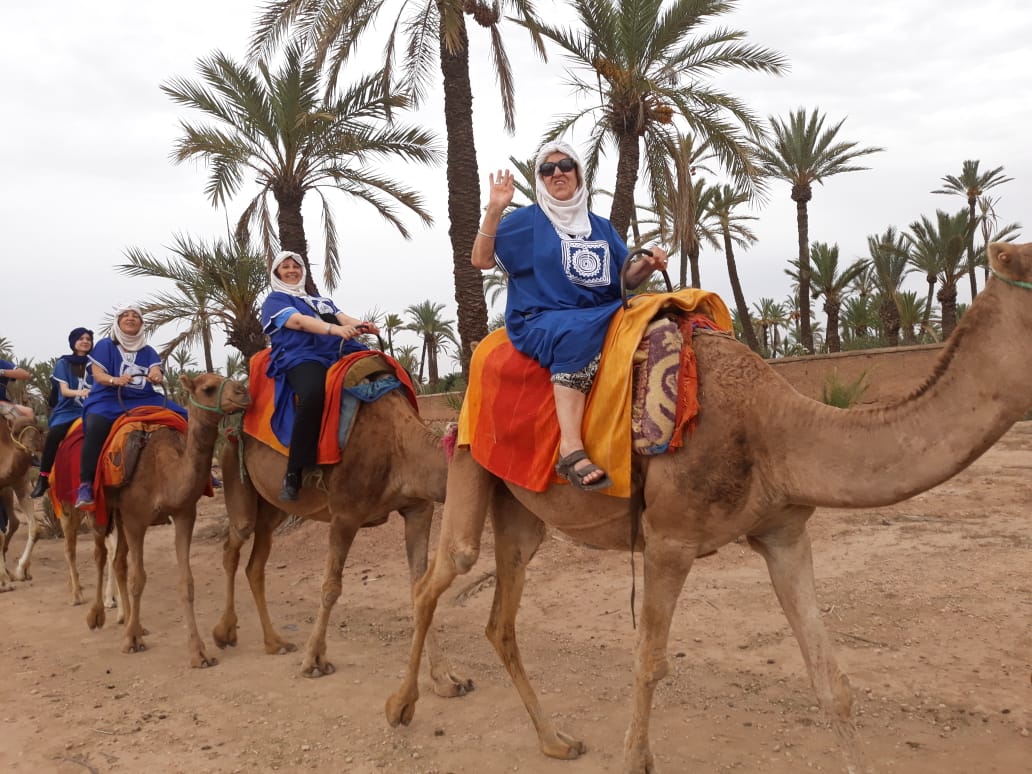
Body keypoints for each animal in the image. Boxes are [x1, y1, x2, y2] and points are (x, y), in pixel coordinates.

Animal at [86, 373, 250, 668]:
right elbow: (138, 579)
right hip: (101, 507)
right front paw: (130, 642)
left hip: (120, 515)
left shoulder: (184, 513)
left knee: (118, 561)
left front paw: (199, 653)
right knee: (100, 554)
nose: (244, 392)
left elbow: (186, 583)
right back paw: (97, 616)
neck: (163, 473)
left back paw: (135, 624)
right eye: (208, 388)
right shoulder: (136, 518)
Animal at [214, 383, 471, 696]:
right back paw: (223, 634)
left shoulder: (419, 508)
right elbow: (330, 588)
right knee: (234, 542)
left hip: (274, 507)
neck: (400, 448)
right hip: (235, 473)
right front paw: (313, 661)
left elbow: (420, 588)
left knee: (255, 563)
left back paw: (274, 643)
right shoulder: (345, 514)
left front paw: (447, 678)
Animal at [386, 241, 1032, 774]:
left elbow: (831, 679)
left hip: (520, 506)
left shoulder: (784, 533)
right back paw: (403, 705)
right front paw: (635, 760)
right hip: (469, 459)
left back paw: (555, 741)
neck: (775, 427)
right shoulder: (669, 540)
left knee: (501, 615)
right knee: (440, 574)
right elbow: (649, 662)